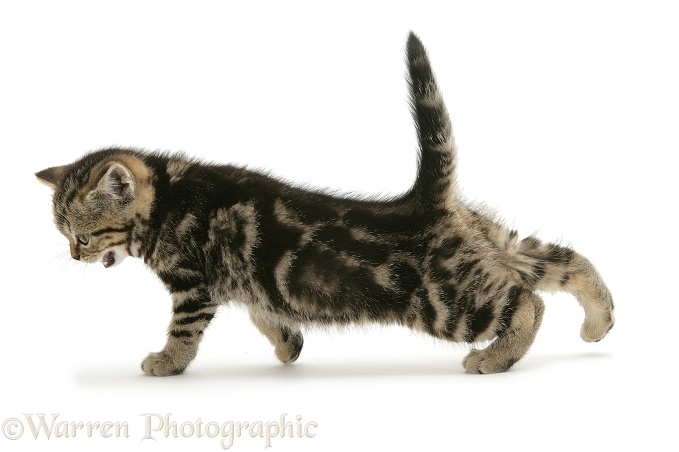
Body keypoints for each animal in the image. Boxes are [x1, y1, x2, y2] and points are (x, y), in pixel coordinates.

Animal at [35, 32, 616, 374]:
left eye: (81, 236)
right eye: (66, 237)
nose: (74, 255)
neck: (167, 194)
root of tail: (428, 200)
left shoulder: (191, 286)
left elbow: (184, 331)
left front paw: (166, 361)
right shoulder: (248, 284)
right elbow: (266, 312)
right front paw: (287, 345)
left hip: (447, 301)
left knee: (528, 301)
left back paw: (496, 358)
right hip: (494, 246)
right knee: (562, 261)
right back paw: (598, 321)